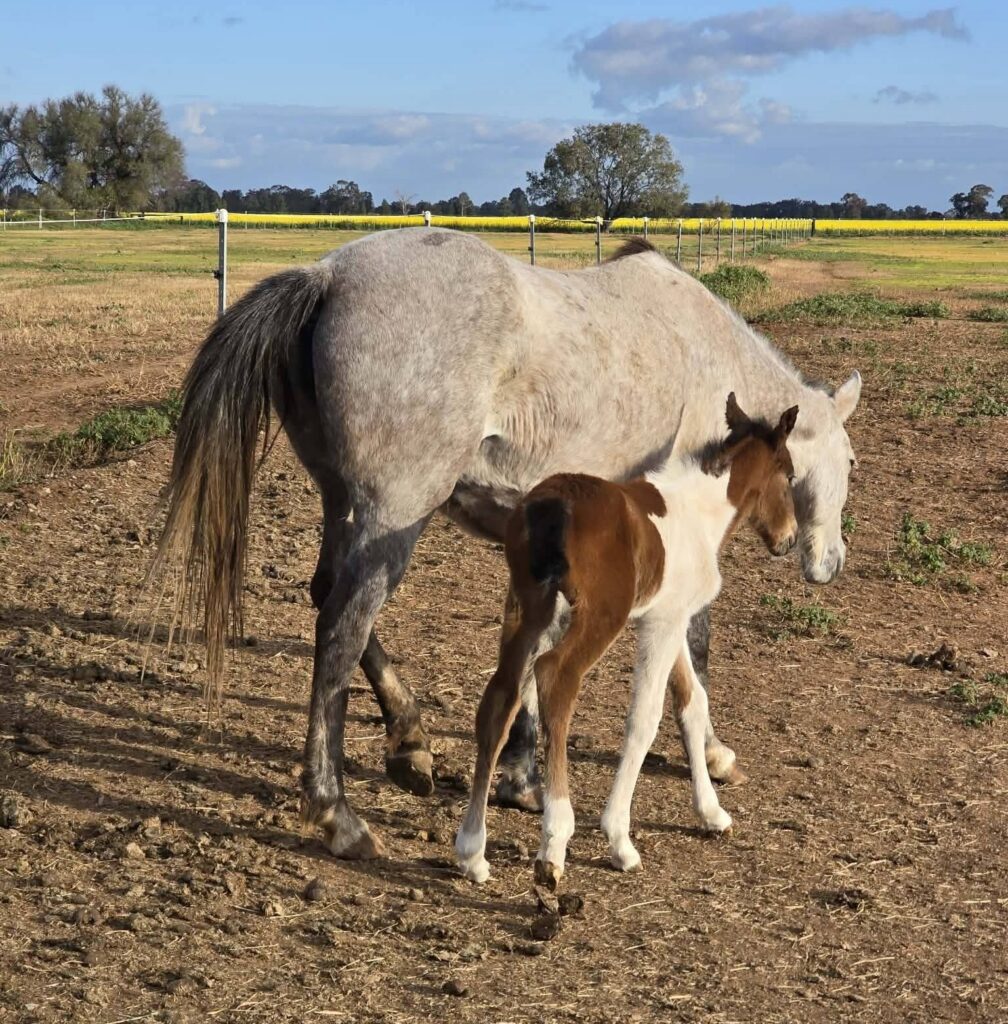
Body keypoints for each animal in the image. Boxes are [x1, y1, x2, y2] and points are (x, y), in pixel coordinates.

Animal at [456, 394, 798, 887]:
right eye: (790, 476)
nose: (788, 539)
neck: (699, 512)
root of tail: (552, 507)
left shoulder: (667, 616)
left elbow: (692, 702)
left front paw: (712, 813)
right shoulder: (661, 623)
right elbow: (645, 718)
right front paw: (619, 838)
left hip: (529, 606)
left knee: (500, 697)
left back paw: (472, 851)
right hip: (598, 616)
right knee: (554, 677)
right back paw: (555, 841)